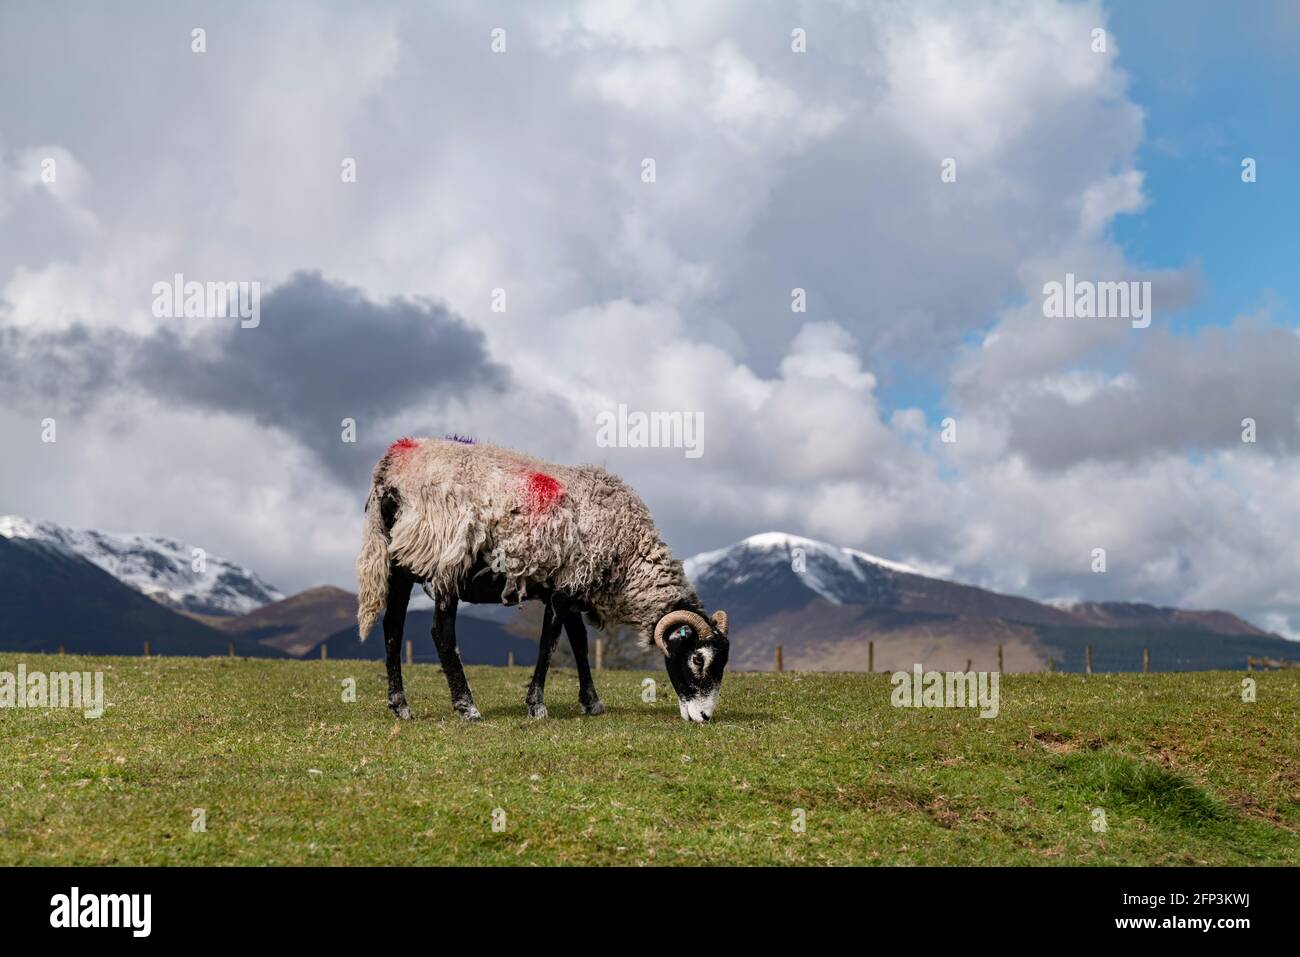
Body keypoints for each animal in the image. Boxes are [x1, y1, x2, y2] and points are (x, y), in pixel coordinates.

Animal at [353, 436, 733, 722]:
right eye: (698, 659)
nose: (704, 718)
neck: (627, 556)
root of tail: (393, 466)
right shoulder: (562, 589)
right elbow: (549, 645)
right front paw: (537, 705)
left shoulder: (575, 590)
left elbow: (579, 644)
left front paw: (592, 702)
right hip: (446, 557)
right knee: (441, 633)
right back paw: (467, 707)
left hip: (402, 559)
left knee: (392, 627)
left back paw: (400, 705)